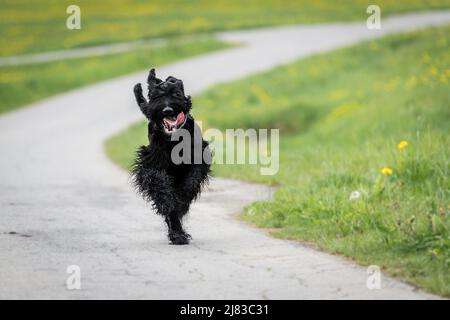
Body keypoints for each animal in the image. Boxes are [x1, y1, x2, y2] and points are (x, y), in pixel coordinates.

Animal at [131, 68, 210, 245]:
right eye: (155, 96)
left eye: (176, 94)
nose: (167, 110)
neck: (173, 139)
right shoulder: (149, 165)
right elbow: (157, 181)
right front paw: (166, 200)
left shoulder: (199, 155)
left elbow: (192, 178)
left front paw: (185, 191)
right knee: (172, 212)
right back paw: (177, 234)